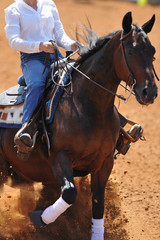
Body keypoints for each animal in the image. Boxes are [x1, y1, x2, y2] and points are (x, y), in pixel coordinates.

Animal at [0, 11, 158, 240]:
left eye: (152, 52)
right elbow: (69, 193)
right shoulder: (60, 158)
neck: (88, 107)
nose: (150, 92)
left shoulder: (104, 162)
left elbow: (98, 204)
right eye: (130, 50)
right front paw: (38, 218)